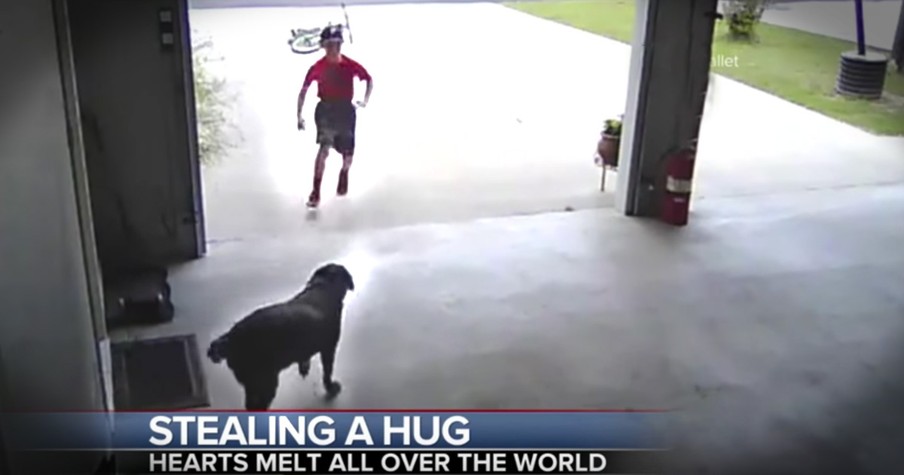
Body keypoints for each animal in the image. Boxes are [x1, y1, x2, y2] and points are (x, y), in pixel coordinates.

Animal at [207, 262, 354, 410]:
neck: (323, 288)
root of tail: (229, 340)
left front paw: (304, 366)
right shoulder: (329, 349)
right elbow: (327, 373)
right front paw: (330, 387)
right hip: (263, 384)